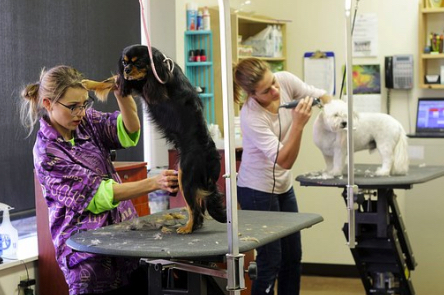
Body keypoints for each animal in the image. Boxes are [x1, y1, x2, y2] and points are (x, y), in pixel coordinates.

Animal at [83, 44, 227, 234]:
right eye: (125, 62)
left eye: (139, 63)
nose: (127, 70)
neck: (160, 67)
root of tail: (211, 155)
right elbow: (114, 79)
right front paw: (90, 82)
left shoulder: (144, 85)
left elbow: (115, 80)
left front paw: (89, 83)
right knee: (199, 204)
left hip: (185, 175)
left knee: (194, 207)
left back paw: (188, 228)